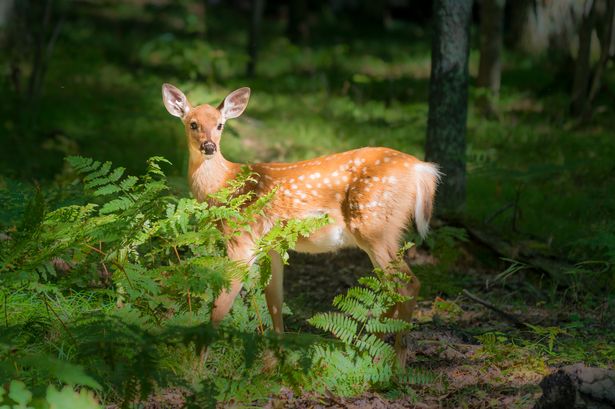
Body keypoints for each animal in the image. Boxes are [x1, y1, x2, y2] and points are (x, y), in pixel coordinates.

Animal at [162, 83, 442, 360]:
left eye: (220, 125)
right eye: (193, 124)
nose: (209, 146)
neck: (226, 183)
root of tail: (421, 169)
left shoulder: (242, 240)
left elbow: (220, 306)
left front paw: (196, 365)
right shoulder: (272, 247)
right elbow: (275, 302)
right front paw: (274, 363)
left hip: (376, 228)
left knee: (407, 285)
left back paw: (394, 365)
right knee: (392, 289)